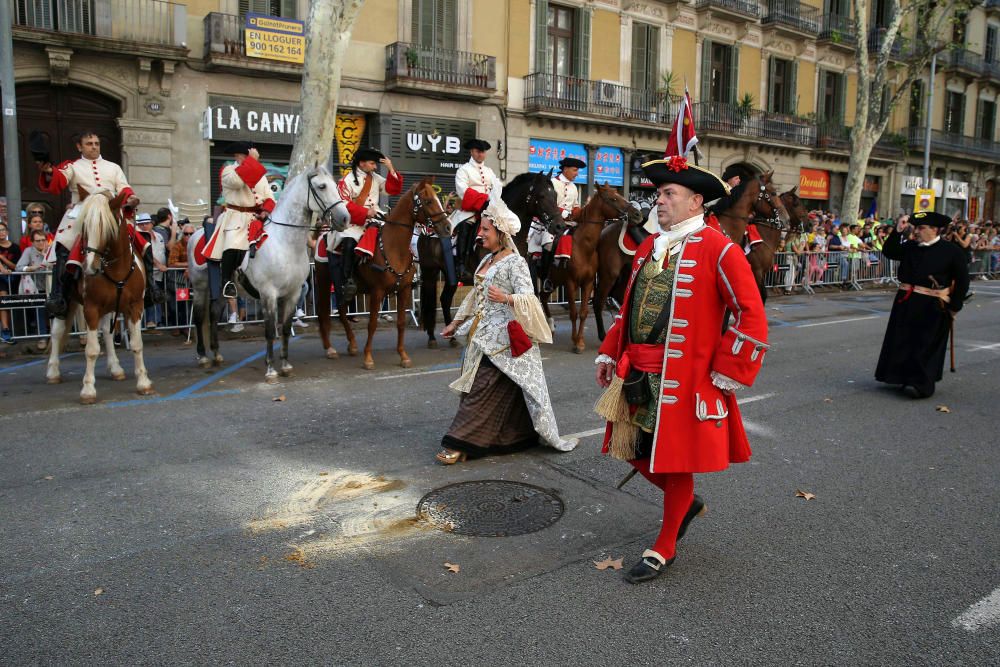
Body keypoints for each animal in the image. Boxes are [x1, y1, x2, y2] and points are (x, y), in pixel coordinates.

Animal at [46, 190, 153, 404]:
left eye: (106, 227)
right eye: (84, 226)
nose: (89, 267)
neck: (116, 268)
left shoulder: (135, 306)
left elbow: (137, 344)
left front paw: (143, 383)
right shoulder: (91, 308)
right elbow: (92, 350)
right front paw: (88, 390)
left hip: (110, 306)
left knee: (107, 331)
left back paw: (116, 369)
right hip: (68, 301)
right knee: (57, 331)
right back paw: (53, 372)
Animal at [188, 165, 352, 380]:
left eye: (335, 185)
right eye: (322, 186)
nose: (345, 218)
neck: (285, 243)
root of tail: (196, 234)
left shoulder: (292, 294)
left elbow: (285, 329)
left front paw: (285, 365)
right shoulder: (268, 294)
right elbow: (269, 331)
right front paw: (270, 369)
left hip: (223, 289)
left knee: (214, 314)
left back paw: (216, 354)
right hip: (200, 287)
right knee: (199, 318)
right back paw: (202, 356)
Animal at [316, 177, 450, 370]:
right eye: (428, 201)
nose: (448, 227)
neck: (394, 247)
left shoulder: (404, 290)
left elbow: (401, 323)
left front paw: (403, 356)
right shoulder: (377, 292)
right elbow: (372, 324)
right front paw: (368, 358)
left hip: (348, 289)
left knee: (341, 310)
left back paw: (352, 344)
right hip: (324, 281)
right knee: (323, 312)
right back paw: (329, 348)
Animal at [418, 172, 568, 348]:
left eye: (555, 195)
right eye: (542, 195)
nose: (560, 226)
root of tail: (426, 229)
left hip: (450, 276)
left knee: (445, 300)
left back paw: (452, 337)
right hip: (430, 271)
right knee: (430, 301)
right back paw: (432, 337)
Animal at [544, 180, 636, 352]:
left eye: (618, 194)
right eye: (613, 199)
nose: (637, 214)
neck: (583, 247)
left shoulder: (587, 283)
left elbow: (583, 312)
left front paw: (580, 341)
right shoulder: (571, 283)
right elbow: (574, 312)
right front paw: (575, 340)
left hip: (556, 281)